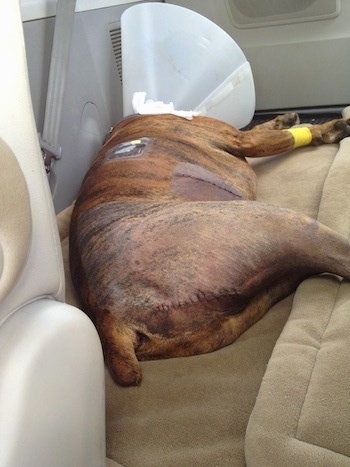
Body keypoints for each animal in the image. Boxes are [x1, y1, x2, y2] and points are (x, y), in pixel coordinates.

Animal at [69, 113, 350, 388]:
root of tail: (107, 316)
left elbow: (263, 127)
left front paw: (285, 120)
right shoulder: (242, 140)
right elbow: (281, 135)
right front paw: (329, 127)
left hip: (211, 329)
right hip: (284, 223)